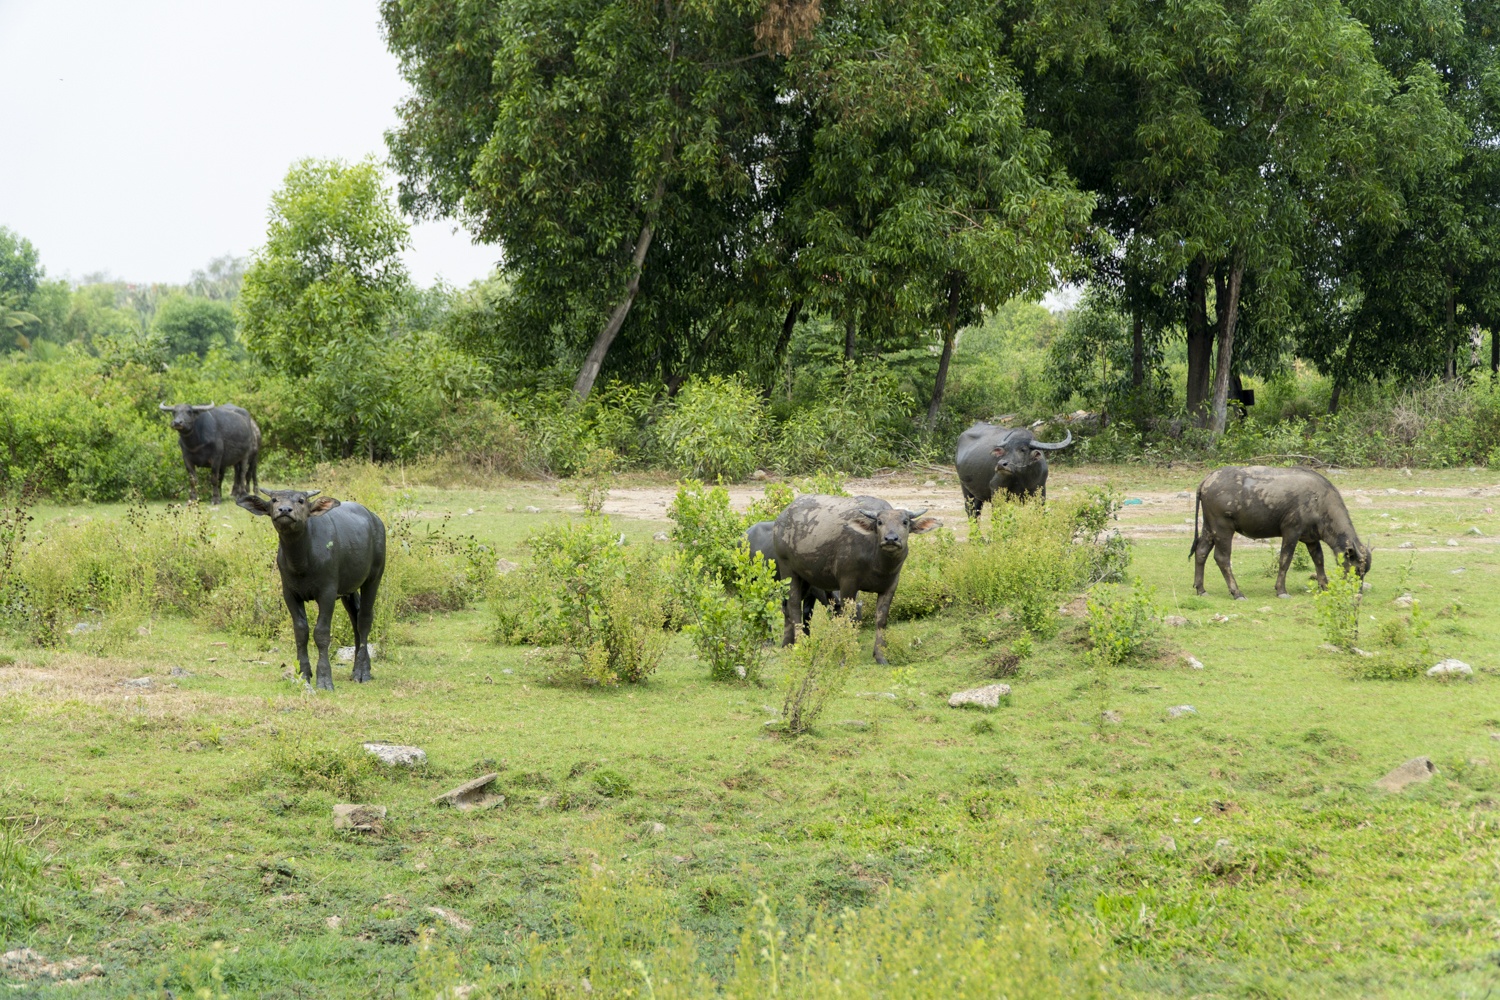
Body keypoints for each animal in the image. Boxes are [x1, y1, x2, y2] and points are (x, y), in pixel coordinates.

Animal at [237, 488, 384, 692]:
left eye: (301, 500)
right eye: (274, 500)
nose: (285, 510)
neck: (302, 560)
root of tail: (375, 520)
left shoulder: (327, 593)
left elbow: (321, 633)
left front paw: (324, 678)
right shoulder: (290, 594)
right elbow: (301, 632)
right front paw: (303, 673)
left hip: (374, 576)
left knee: (364, 619)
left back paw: (362, 672)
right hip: (349, 590)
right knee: (355, 619)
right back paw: (359, 667)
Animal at [774, 494, 936, 665]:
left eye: (905, 522)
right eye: (880, 522)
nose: (891, 539)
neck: (877, 562)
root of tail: (781, 519)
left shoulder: (891, 585)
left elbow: (881, 619)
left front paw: (880, 656)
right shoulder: (848, 583)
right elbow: (848, 618)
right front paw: (845, 655)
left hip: (806, 578)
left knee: (789, 607)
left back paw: (787, 645)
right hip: (788, 571)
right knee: (794, 606)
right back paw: (800, 646)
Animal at [1194, 464, 1374, 599]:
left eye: (1365, 571)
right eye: (1357, 569)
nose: (1358, 592)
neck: (1320, 502)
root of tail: (1208, 479)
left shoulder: (1311, 539)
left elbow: (1319, 560)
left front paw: (1325, 585)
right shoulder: (1291, 532)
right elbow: (1285, 560)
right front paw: (1281, 590)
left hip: (1209, 527)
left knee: (1201, 552)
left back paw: (1201, 589)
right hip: (1223, 528)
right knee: (1222, 558)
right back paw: (1237, 592)